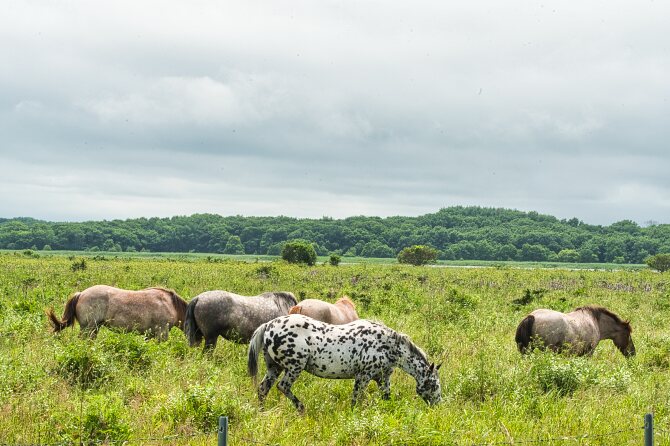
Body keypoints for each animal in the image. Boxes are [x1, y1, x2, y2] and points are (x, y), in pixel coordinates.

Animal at [47, 284, 188, 340]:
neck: (171, 305)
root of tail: (81, 294)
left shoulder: (150, 334)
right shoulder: (162, 332)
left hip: (94, 328)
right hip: (89, 327)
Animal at [249, 314, 444, 412]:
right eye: (434, 385)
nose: (438, 406)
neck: (388, 345)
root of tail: (268, 325)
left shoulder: (382, 378)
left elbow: (387, 398)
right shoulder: (363, 376)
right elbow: (355, 399)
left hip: (274, 367)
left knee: (263, 389)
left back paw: (262, 412)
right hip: (293, 367)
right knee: (283, 387)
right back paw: (302, 408)